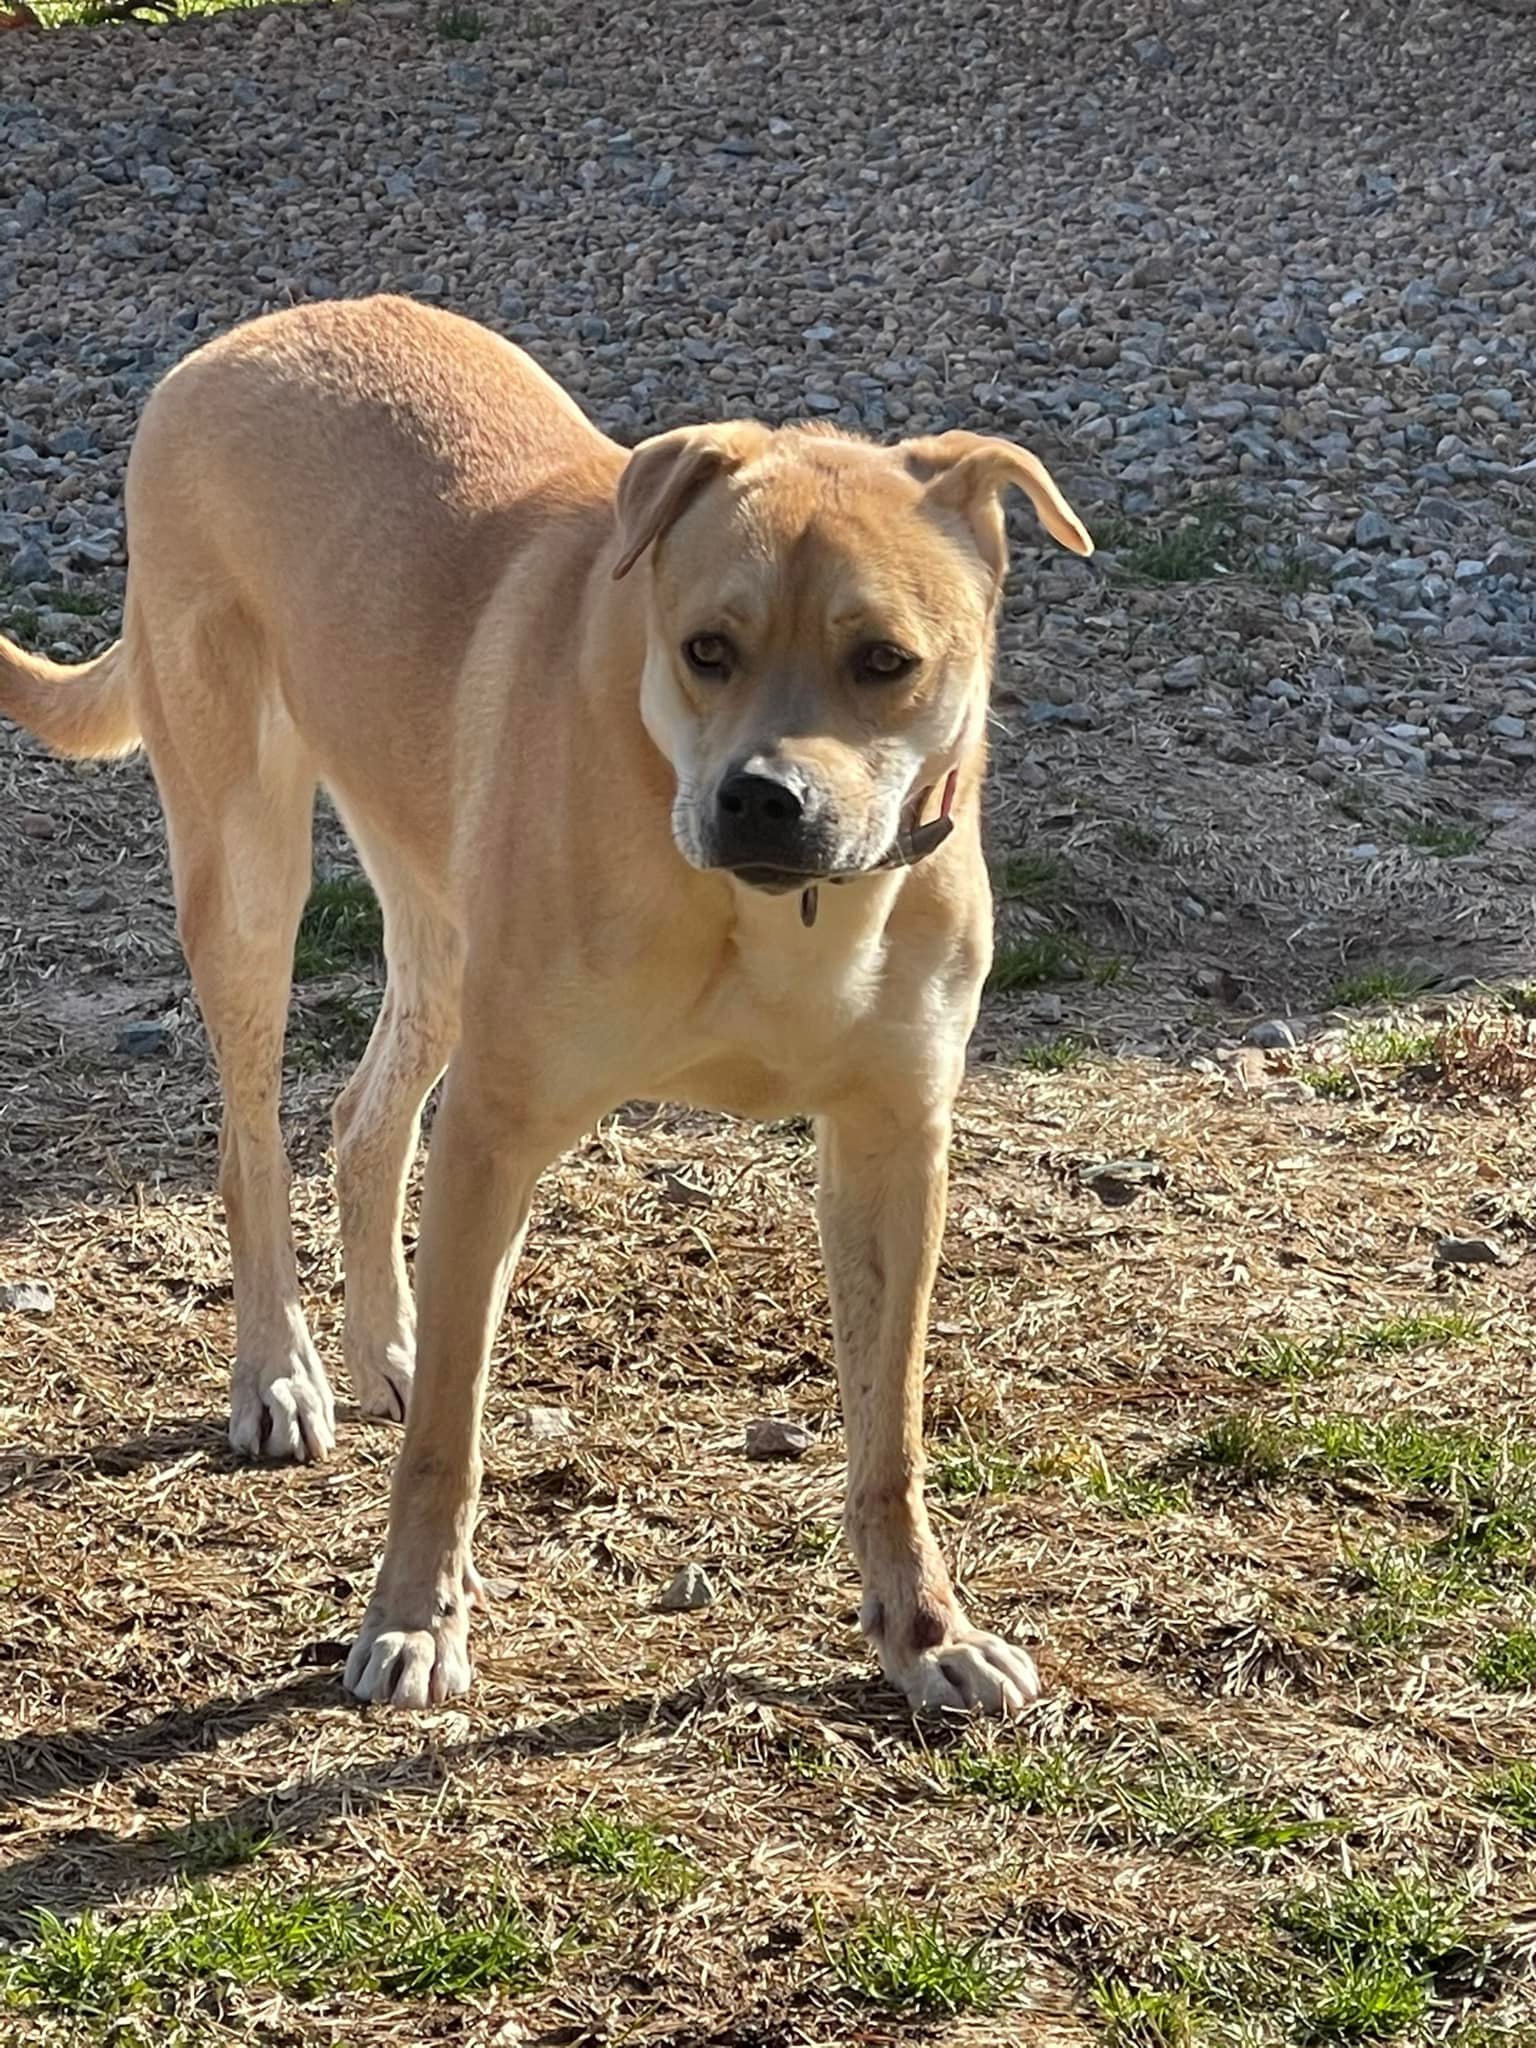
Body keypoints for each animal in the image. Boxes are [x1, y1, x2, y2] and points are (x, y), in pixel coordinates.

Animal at [0, 296, 1097, 1720]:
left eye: (886, 661)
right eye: (706, 649)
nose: (764, 798)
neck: (767, 910)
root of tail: (246, 334)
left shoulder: (893, 1146)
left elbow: (889, 1431)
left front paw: (924, 1631)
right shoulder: (497, 1128)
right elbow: (447, 1444)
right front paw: (414, 1623)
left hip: (436, 923)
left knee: (361, 1118)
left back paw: (384, 1344)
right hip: (247, 870)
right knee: (253, 1144)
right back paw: (281, 1369)